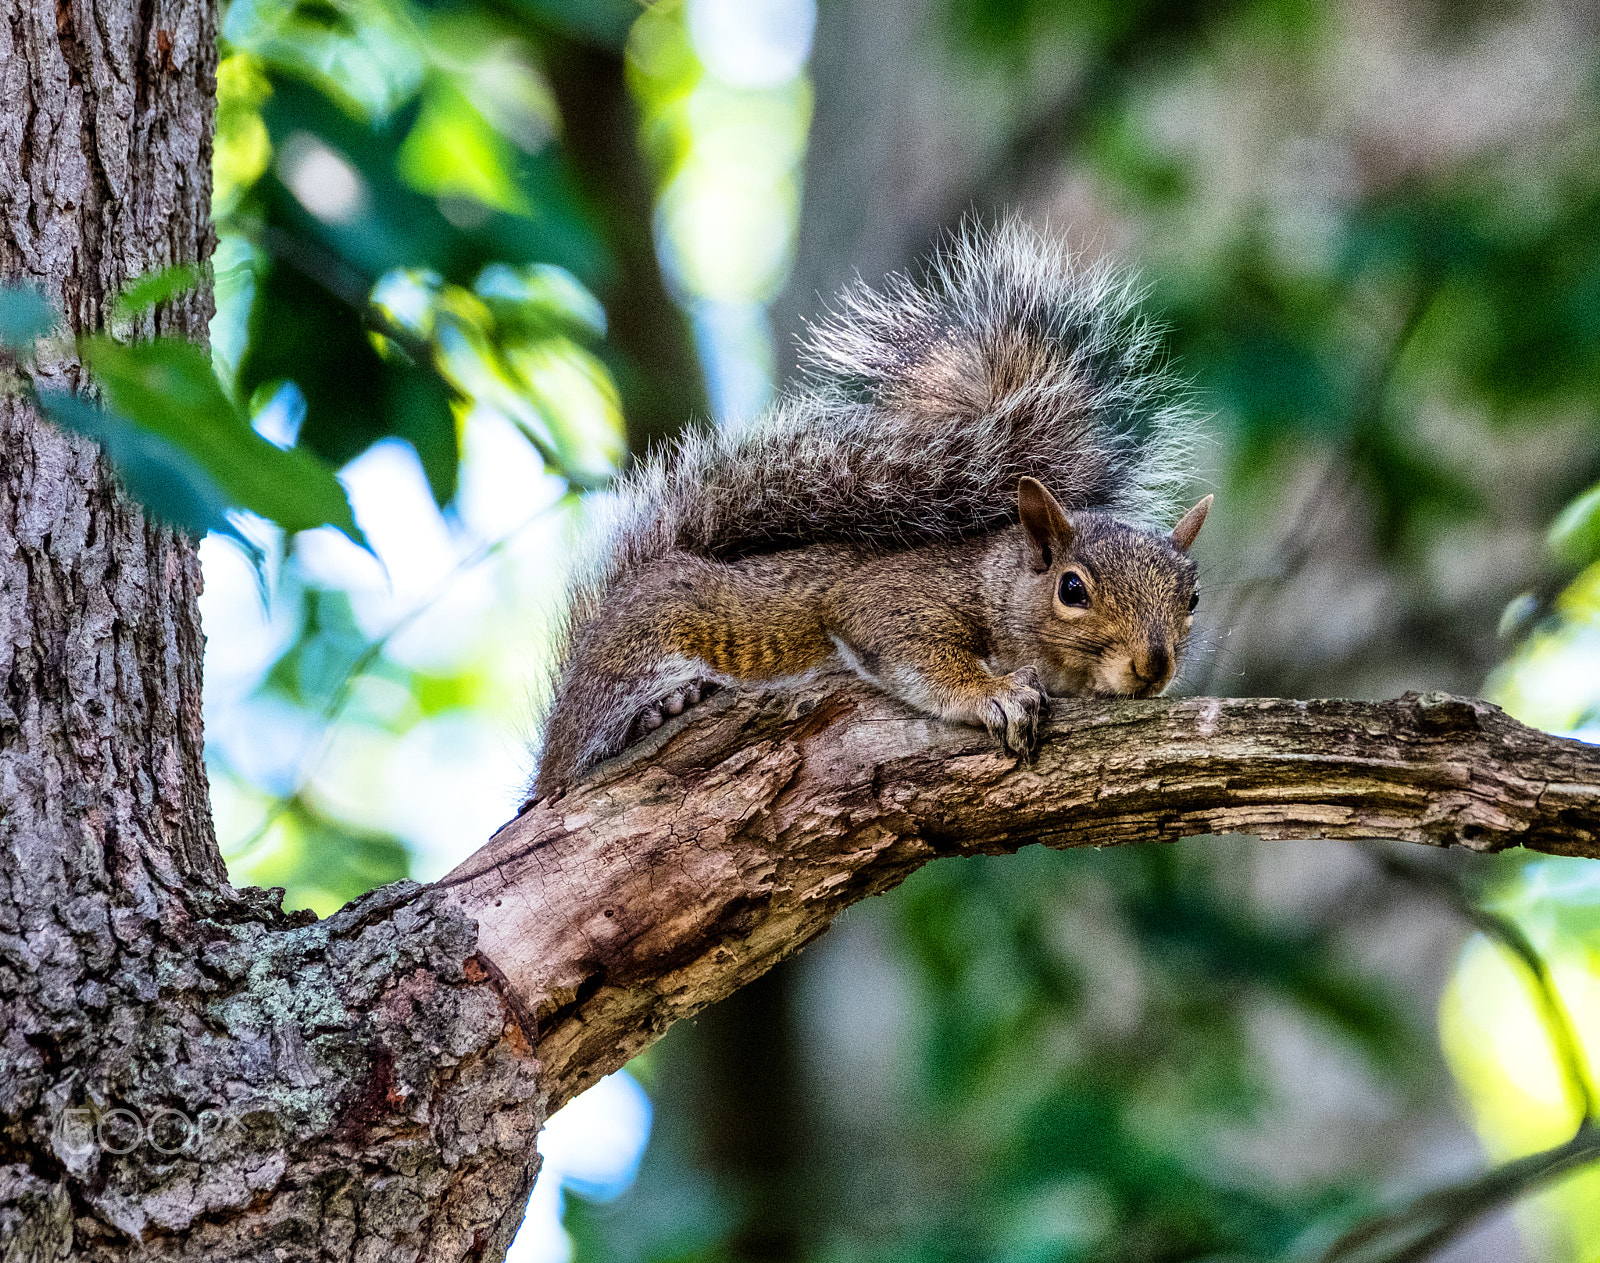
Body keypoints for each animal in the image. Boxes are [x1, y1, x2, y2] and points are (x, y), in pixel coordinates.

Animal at [529, 219, 1210, 798]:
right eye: (1072, 590)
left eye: (1193, 598)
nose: (1153, 665)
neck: (992, 581)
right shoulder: (889, 598)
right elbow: (907, 646)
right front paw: (994, 693)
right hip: (640, 648)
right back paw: (655, 712)